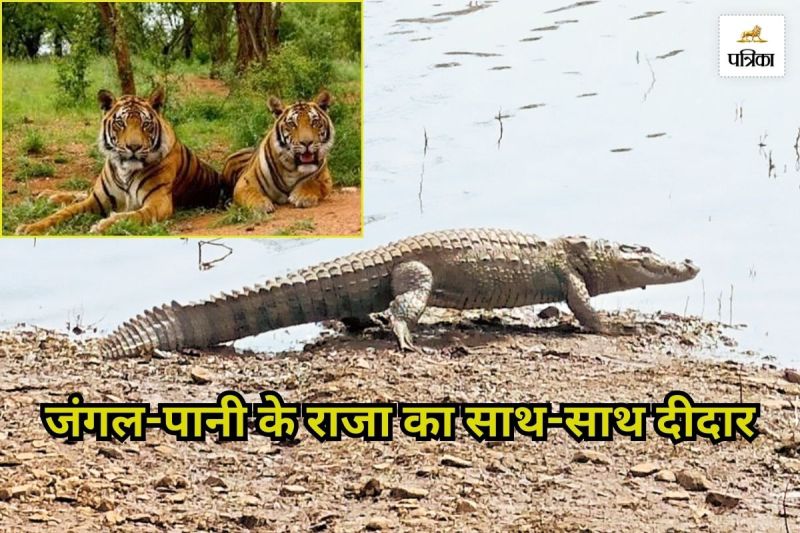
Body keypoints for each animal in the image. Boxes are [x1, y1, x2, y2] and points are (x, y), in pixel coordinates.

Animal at [16, 86, 232, 235]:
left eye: (146, 124)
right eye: (120, 123)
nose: (133, 147)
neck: (125, 171)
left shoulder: (158, 203)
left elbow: (131, 216)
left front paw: (102, 225)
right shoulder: (97, 199)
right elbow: (64, 213)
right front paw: (29, 227)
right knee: (82, 193)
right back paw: (49, 195)